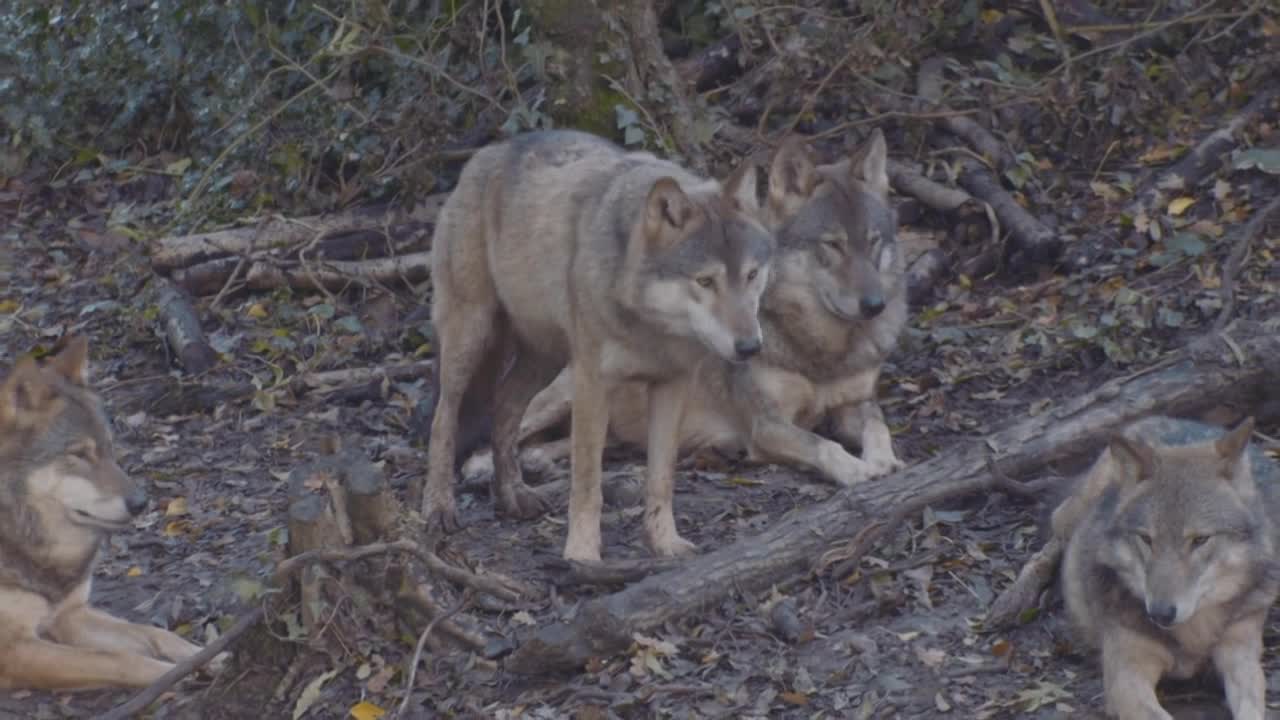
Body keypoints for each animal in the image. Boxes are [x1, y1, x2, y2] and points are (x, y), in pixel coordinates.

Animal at [0, 336, 218, 691]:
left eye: (109, 448)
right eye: (79, 454)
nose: (142, 502)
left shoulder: (70, 614)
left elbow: (152, 632)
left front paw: (206, 656)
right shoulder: (12, 648)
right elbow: (119, 659)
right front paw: (171, 677)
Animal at [420, 129, 773, 563]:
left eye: (752, 275)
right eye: (705, 282)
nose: (750, 346)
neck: (650, 328)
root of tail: (488, 152)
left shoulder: (672, 386)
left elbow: (661, 477)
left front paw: (664, 542)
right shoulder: (593, 384)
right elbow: (588, 481)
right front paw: (582, 554)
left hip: (545, 359)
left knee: (503, 408)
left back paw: (514, 496)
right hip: (471, 339)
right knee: (444, 420)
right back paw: (438, 508)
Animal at [460, 129, 906, 490]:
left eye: (873, 241)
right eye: (832, 245)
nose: (875, 305)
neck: (822, 349)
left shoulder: (855, 404)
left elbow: (879, 427)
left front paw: (884, 461)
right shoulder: (766, 426)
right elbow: (823, 444)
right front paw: (856, 468)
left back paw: (540, 461)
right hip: (565, 393)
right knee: (505, 425)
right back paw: (483, 466)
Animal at [1057, 415, 1279, 720]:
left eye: (1199, 540)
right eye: (1147, 539)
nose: (1160, 613)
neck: (1194, 634)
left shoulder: (1241, 654)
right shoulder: (1125, 676)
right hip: (1069, 518)